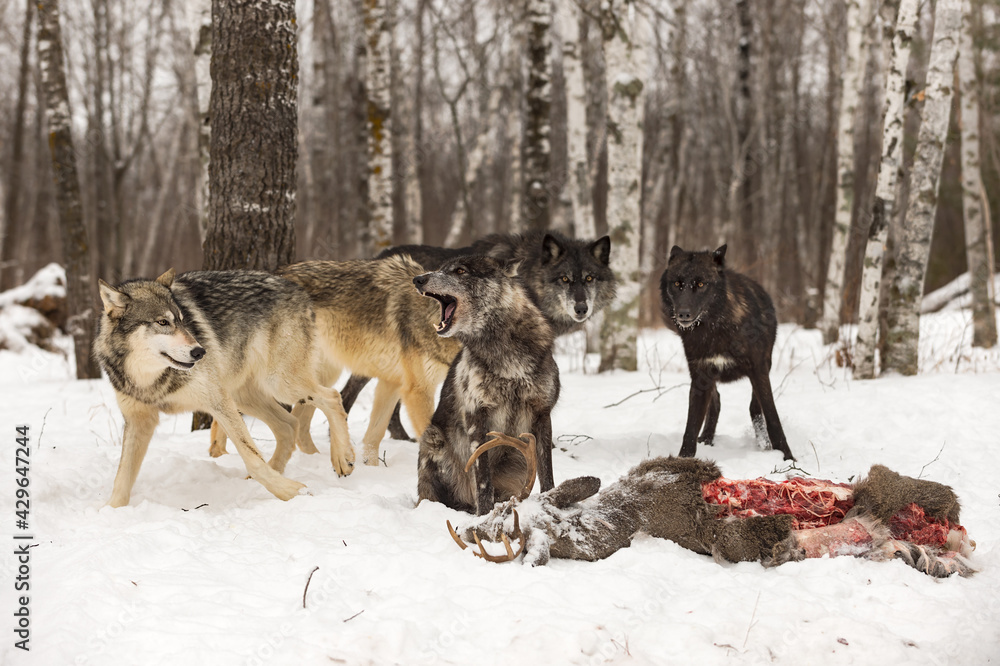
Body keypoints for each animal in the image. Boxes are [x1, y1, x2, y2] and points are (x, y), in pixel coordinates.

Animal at [93, 269, 354, 507]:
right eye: (163, 322)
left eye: (182, 320)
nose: (200, 351)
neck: (149, 379)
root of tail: (298, 289)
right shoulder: (139, 421)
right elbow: (122, 478)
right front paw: (112, 511)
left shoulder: (218, 402)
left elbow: (251, 457)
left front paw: (292, 492)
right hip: (244, 397)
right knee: (289, 425)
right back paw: (272, 473)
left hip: (279, 384)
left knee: (332, 397)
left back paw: (343, 459)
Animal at [414, 255, 560, 515]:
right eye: (441, 268)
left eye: (460, 271)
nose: (418, 279)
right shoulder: (476, 416)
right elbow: (482, 480)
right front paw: (484, 515)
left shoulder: (542, 414)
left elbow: (547, 472)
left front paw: (551, 501)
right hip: (432, 439)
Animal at [659, 244, 795, 460]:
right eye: (678, 283)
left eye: (701, 283)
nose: (683, 314)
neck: (715, 329)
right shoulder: (701, 376)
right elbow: (691, 426)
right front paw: (684, 460)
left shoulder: (758, 370)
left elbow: (773, 418)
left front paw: (787, 458)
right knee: (717, 403)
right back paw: (707, 438)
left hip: (765, 367)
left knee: (754, 407)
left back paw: (763, 444)